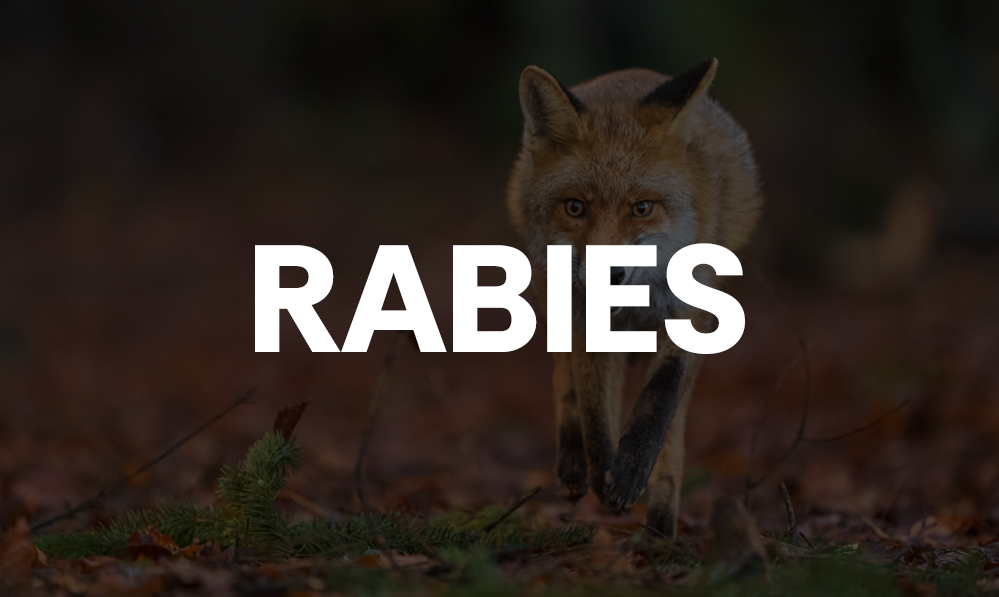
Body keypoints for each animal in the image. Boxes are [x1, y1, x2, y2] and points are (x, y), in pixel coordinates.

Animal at [506, 58, 762, 537]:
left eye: (642, 208)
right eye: (575, 207)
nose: (608, 274)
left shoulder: (690, 313)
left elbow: (659, 400)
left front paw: (630, 473)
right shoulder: (585, 316)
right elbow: (593, 410)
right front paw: (600, 470)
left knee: (675, 424)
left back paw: (661, 523)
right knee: (564, 377)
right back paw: (573, 462)